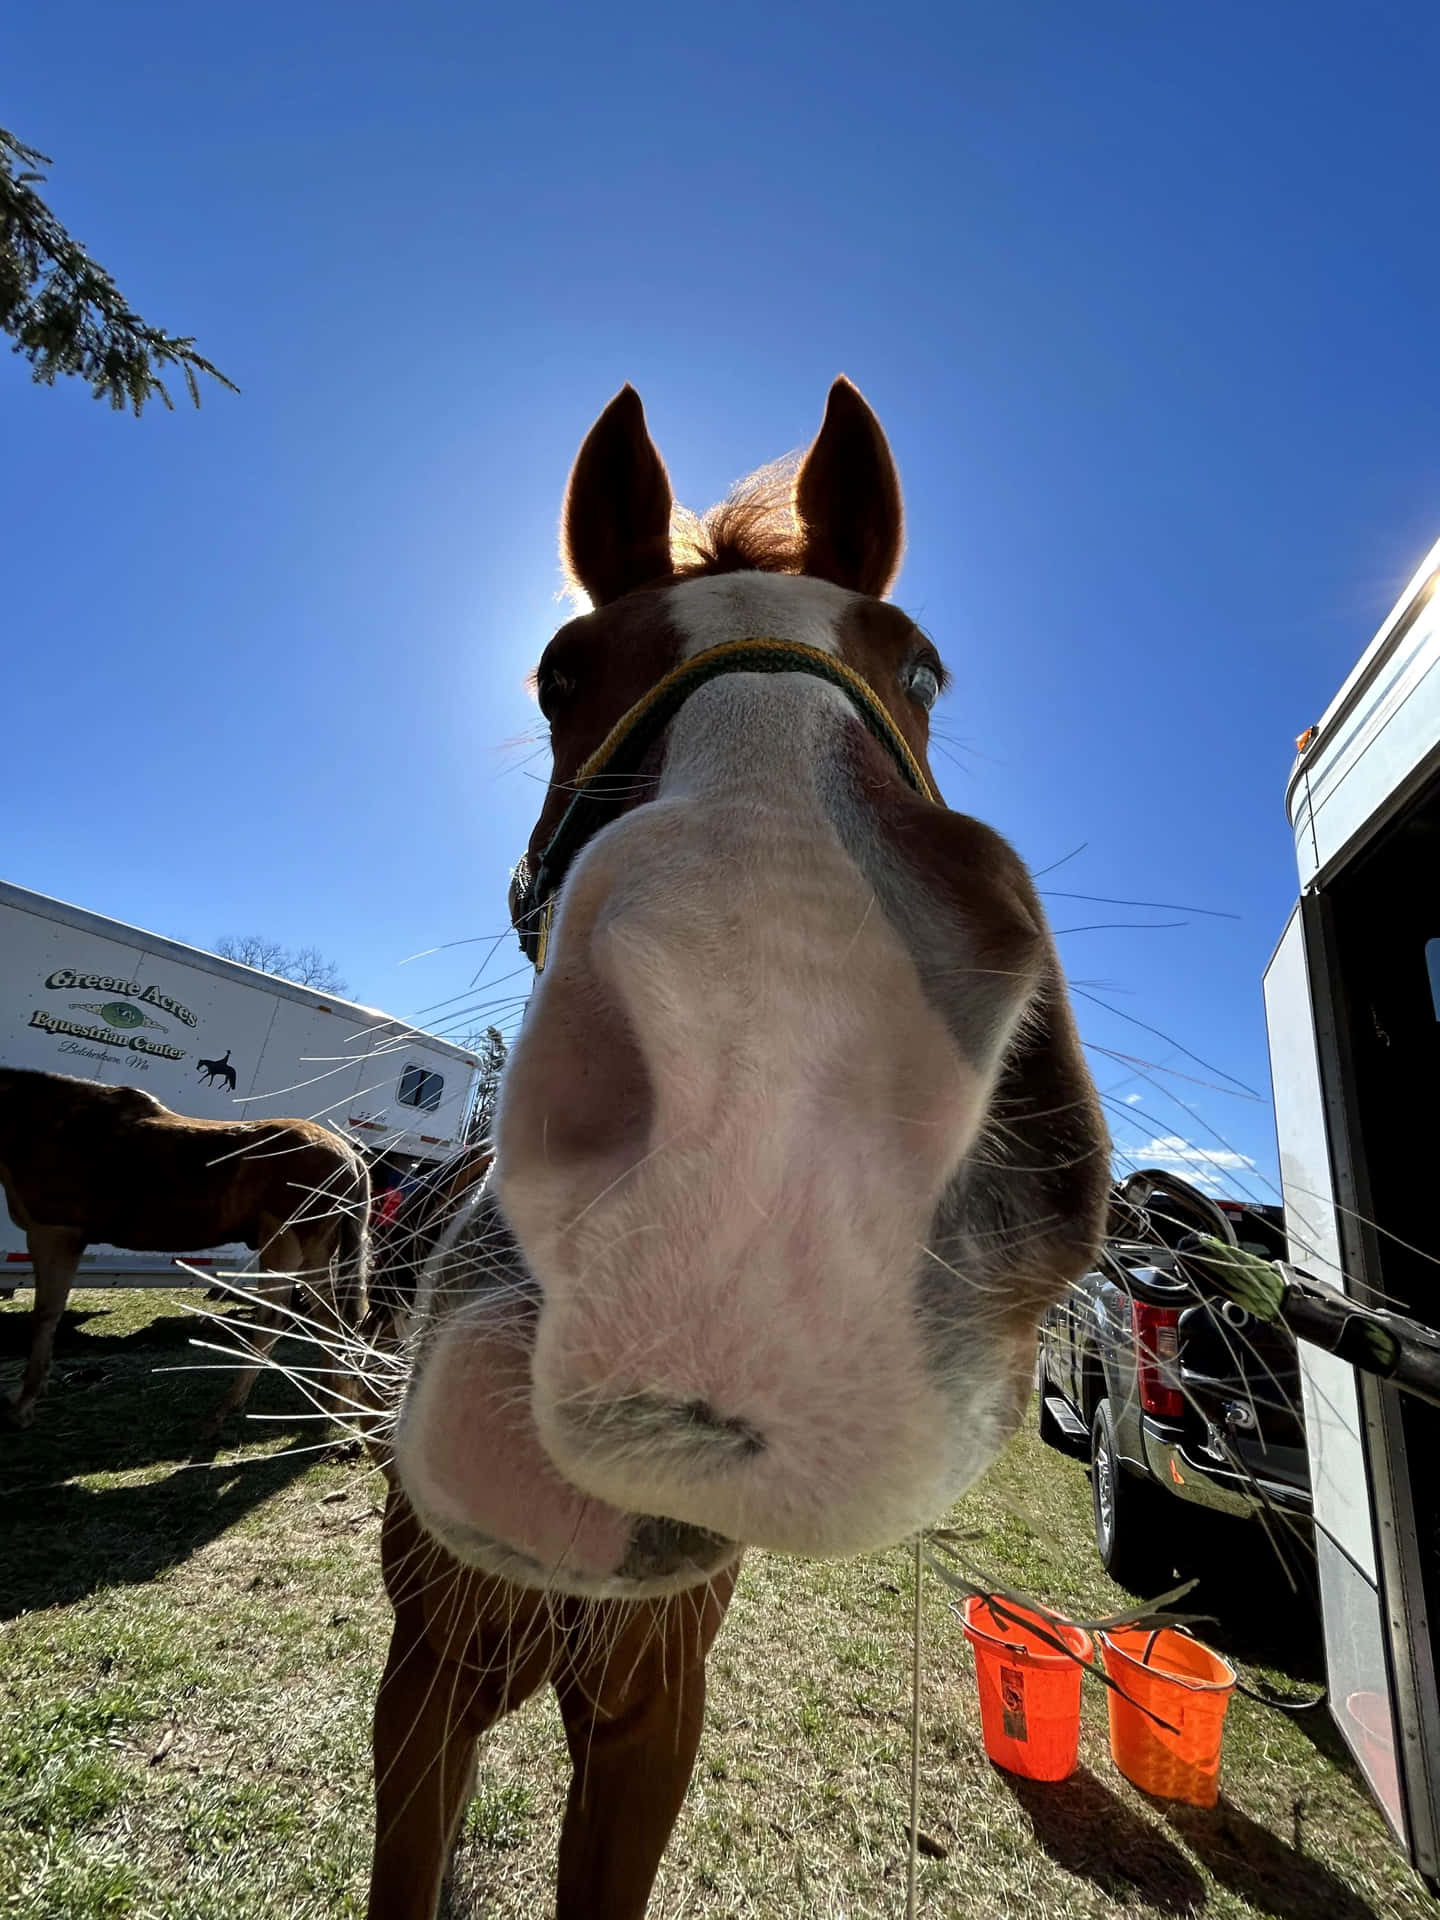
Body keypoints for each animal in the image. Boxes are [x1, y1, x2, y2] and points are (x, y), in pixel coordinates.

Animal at [1, 1075, 372, 1436]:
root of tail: (352, 1159)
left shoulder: (54, 1231)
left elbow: (46, 1314)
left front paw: (24, 1404)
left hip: (284, 1244)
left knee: (274, 1320)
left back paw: (226, 1409)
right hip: (315, 1253)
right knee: (328, 1317)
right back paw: (330, 1401)